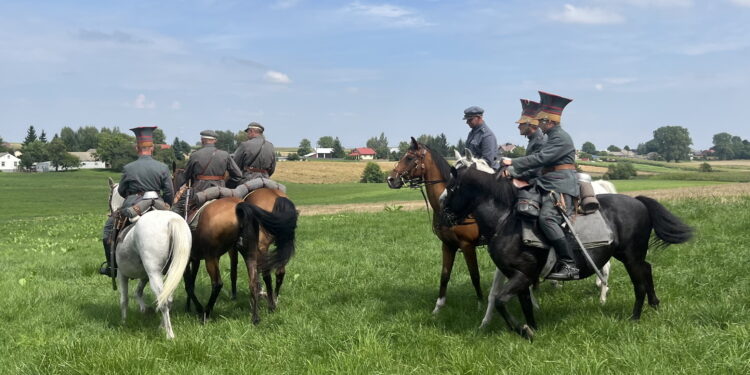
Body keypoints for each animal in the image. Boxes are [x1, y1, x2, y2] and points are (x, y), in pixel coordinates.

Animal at [107, 179, 192, 340]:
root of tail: (170, 221)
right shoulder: (144, 275)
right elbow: (138, 291)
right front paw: (144, 308)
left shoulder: (122, 274)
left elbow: (124, 299)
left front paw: (123, 322)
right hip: (173, 272)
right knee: (167, 299)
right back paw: (161, 326)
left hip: (154, 273)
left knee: (163, 300)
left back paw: (169, 334)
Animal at [388, 138, 488, 314]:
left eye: (409, 157)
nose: (390, 179)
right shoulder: (447, 245)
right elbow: (444, 275)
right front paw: (438, 307)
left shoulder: (467, 245)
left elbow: (475, 275)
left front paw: (480, 306)